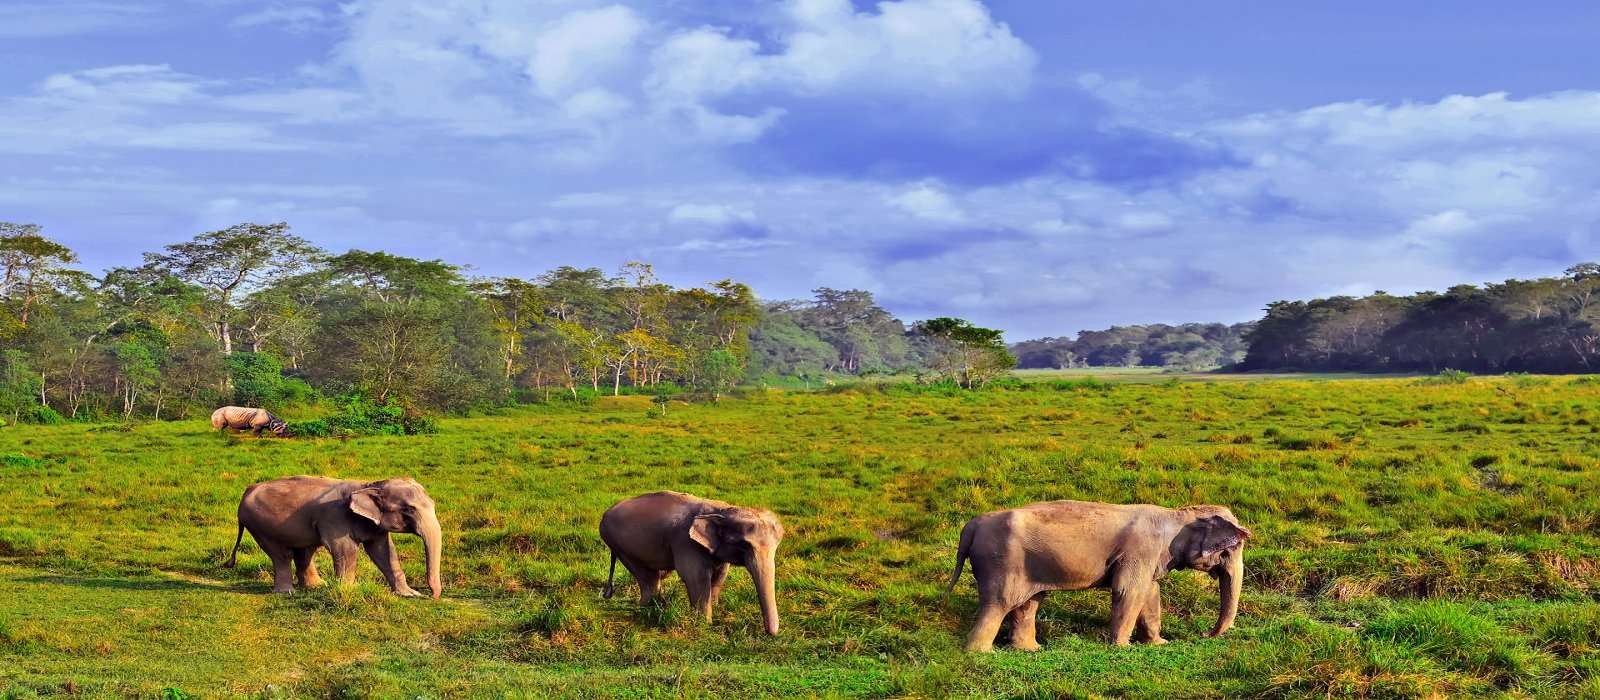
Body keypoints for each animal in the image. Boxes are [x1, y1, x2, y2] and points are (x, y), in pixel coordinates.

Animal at [222, 476, 441, 594]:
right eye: (409, 509)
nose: (433, 595)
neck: (367, 484)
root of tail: (247, 490)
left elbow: (384, 551)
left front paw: (410, 594)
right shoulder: (335, 517)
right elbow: (346, 549)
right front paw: (349, 591)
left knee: (304, 553)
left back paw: (316, 586)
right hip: (259, 524)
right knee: (281, 555)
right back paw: (287, 592)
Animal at [598, 492, 784, 632]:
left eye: (777, 544)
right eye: (743, 545)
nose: (770, 633)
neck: (721, 509)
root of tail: (605, 514)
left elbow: (720, 575)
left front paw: (715, 608)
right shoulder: (685, 542)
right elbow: (696, 577)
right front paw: (705, 624)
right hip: (620, 544)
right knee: (646, 576)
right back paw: (648, 607)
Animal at [947, 498, 1248, 652]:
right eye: (1231, 548)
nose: (1205, 634)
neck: (1176, 514)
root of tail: (971, 526)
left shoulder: (1148, 558)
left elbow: (1150, 593)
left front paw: (1158, 643)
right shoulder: (1140, 550)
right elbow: (1128, 591)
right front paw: (1122, 648)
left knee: (1028, 604)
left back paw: (1031, 650)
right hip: (1001, 563)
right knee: (999, 604)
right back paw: (981, 654)